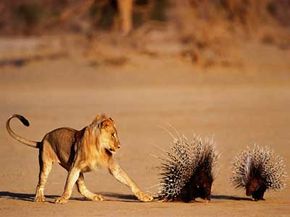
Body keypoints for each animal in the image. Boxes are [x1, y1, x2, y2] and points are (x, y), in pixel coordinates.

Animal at [5, 114, 153, 204]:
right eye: (113, 135)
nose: (119, 146)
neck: (98, 147)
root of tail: (43, 139)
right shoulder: (75, 167)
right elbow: (67, 185)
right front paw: (62, 199)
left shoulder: (112, 166)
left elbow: (130, 181)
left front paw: (144, 196)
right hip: (47, 164)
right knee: (40, 183)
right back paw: (39, 198)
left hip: (75, 170)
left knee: (81, 187)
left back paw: (96, 196)